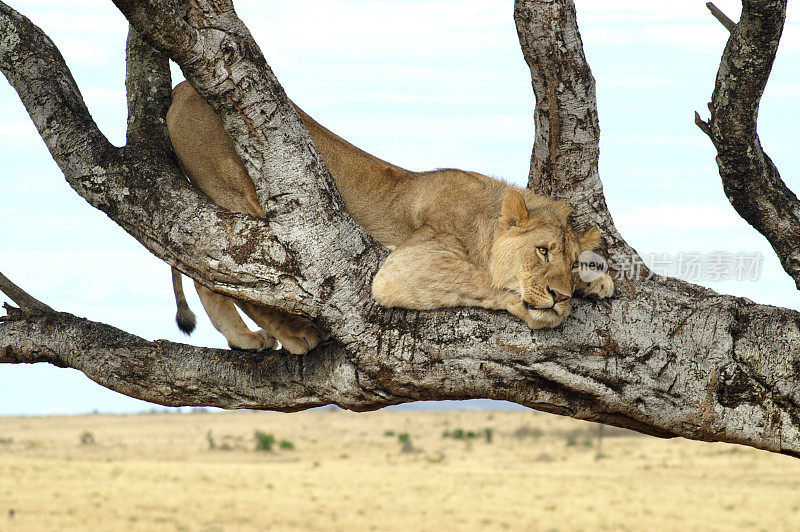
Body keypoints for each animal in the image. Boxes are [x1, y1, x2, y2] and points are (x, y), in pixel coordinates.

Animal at [164, 82, 612, 354]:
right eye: (542, 251)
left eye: (572, 263)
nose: (562, 296)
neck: (484, 217)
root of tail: (184, 87)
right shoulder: (404, 264)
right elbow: (479, 278)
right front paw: (537, 306)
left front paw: (596, 281)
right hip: (239, 196)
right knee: (235, 281)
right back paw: (292, 334)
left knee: (206, 276)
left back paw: (242, 339)